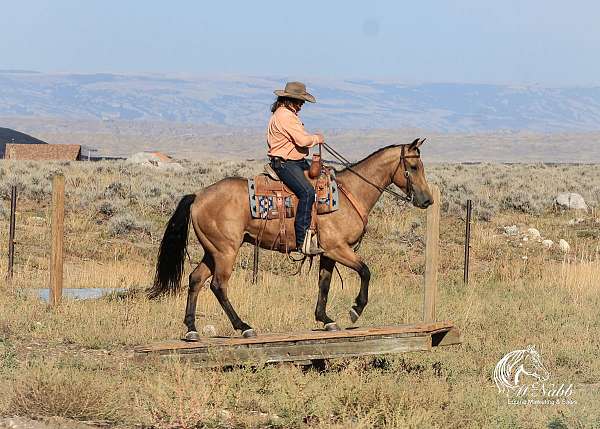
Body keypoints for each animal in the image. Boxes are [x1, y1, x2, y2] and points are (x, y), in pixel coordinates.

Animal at [148, 139, 434, 340]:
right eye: (412, 167)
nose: (427, 200)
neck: (350, 192)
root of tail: (198, 195)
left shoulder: (327, 252)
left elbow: (324, 284)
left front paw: (325, 319)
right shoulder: (338, 248)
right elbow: (365, 271)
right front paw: (355, 310)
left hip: (213, 251)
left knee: (195, 279)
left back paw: (191, 329)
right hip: (225, 252)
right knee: (218, 286)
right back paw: (244, 327)